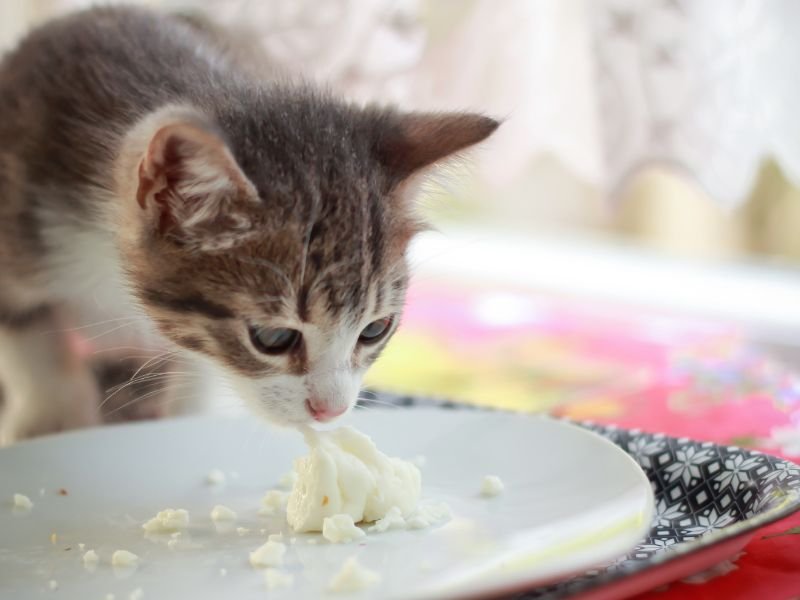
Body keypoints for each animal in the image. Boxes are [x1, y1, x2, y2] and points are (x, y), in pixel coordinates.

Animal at [0, 5, 496, 446]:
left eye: (375, 329)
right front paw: (53, 418)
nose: (330, 411)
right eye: (274, 338)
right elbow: (28, 334)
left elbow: (195, 366)